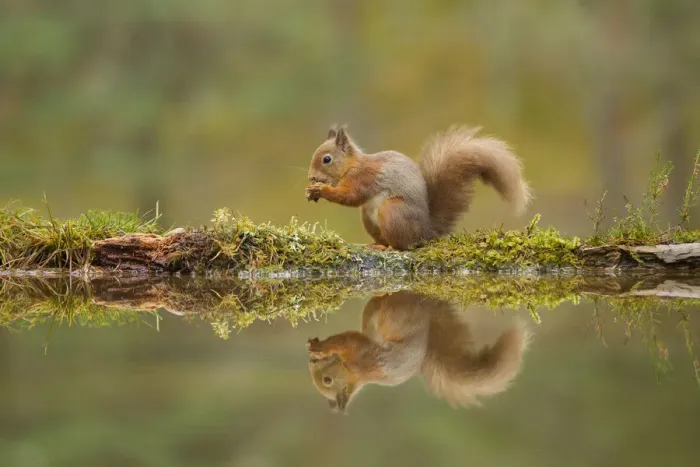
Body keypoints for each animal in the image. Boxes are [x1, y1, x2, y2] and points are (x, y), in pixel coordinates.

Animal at [305, 124, 532, 250]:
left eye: (327, 159)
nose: (311, 177)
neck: (352, 165)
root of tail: (424, 231)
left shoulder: (363, 177)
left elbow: (351, 196)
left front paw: (321, 190)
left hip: (392, 210)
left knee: (403, 245)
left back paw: (389, 249)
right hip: (369, 219)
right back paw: (375, 244)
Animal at [306, 291, 531, 413]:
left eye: (327, 380)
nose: (312, 364)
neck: (354, 374)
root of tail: (427, 325)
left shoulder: (361, 355)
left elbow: (345, 339)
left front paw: (320, 348)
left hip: (396, 315)